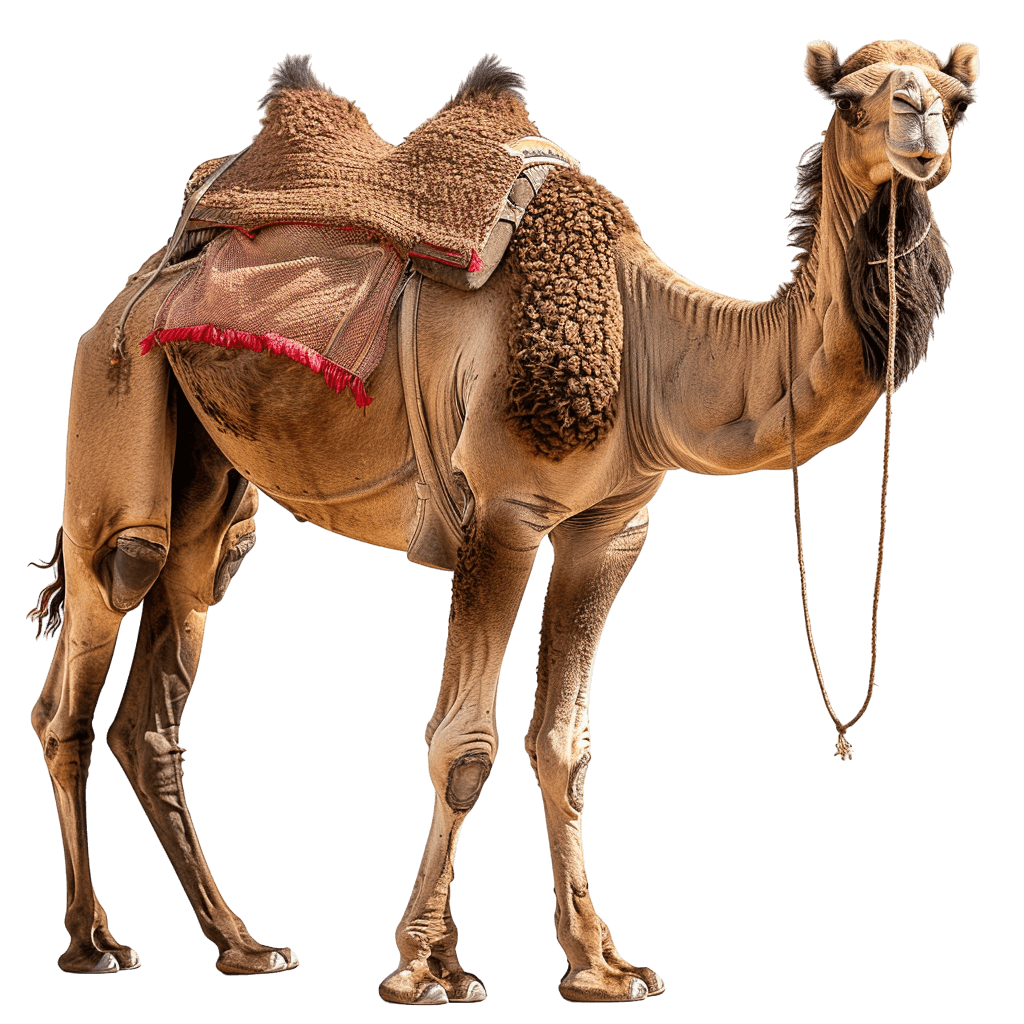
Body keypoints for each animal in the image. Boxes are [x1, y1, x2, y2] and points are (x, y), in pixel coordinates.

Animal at [28, 39, 979, 999]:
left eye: (957, 101)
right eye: (852, 101)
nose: (920, 129)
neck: (649, 341)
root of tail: (146, 273)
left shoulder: (610, 527)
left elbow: (566, 744)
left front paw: (601, 962)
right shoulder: (503, 512)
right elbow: (463, 743)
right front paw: (425, 965)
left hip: (211, 483)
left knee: (156, 693)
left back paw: (245, 943)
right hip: (114, 394)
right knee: (93, 631)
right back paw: (94, 941)